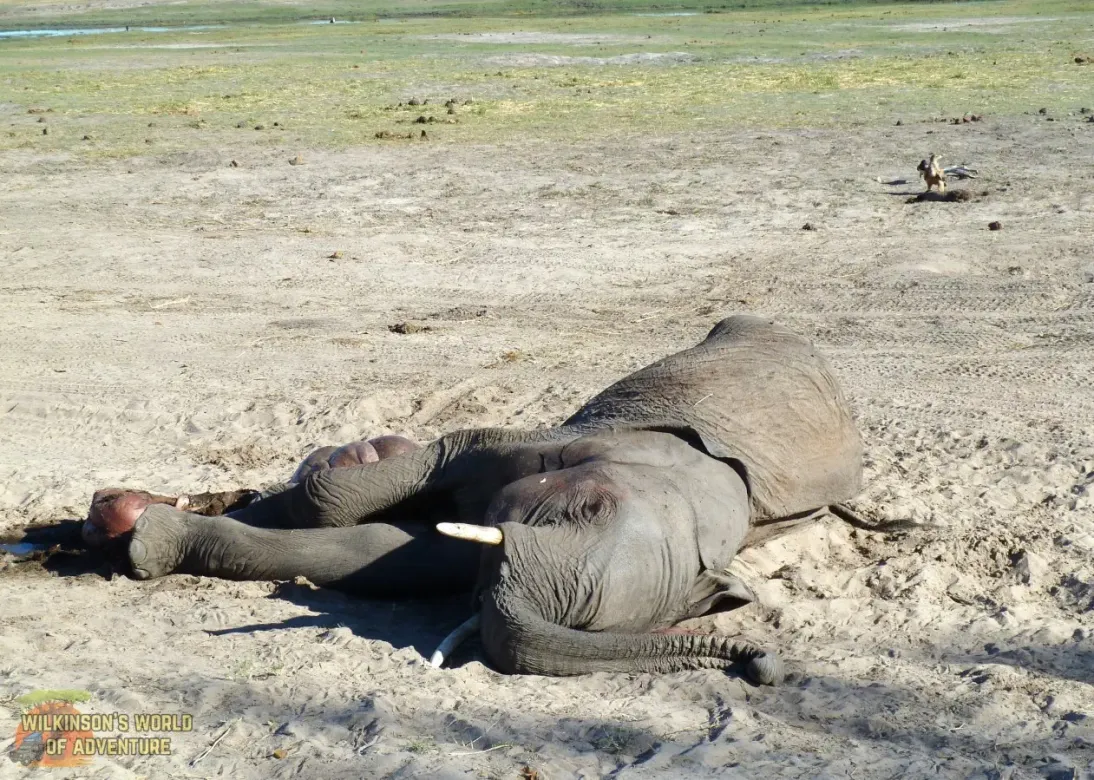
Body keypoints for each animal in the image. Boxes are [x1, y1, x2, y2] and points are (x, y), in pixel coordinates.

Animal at [85, 315, 863, 685]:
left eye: (594, 623)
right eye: (585, 512)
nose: (764, 667)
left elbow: (386, 556)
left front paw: (148, 539)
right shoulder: (562, 442)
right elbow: (351, 501)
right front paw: (135, 531)